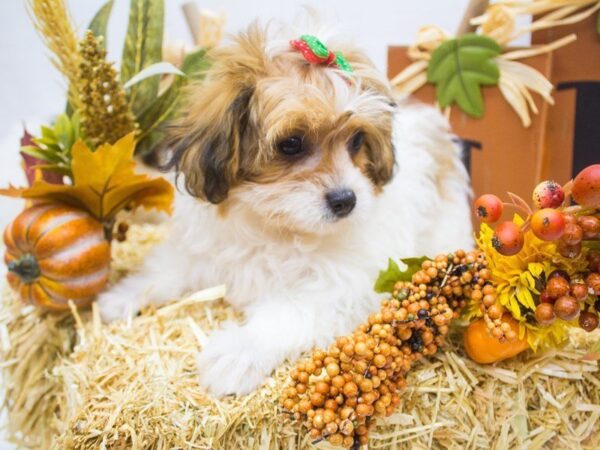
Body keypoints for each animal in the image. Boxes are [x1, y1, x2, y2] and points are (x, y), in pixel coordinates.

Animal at [98, 23, 474, 398]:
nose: (346, 200)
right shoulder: (204, 247)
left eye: (356, 141)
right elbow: (168, 269)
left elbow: (288, 312)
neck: (275, 225)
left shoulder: (341, 285)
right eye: (291, 144)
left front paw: (238, 351)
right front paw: (122, 296)